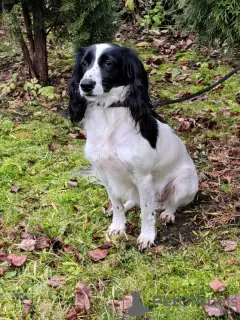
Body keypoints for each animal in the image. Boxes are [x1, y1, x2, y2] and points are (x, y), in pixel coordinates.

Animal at [68, 43, 199, 250]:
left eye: (108, 63)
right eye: (84, 63)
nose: (85, 85)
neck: (109, 112)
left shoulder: (143, 176)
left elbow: (146, 212)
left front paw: (147, 236)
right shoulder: (104, 172)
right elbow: (117, 203)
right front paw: (118, 225)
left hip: (184, 182)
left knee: (172, 203)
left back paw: (168, 213)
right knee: (132, 199)